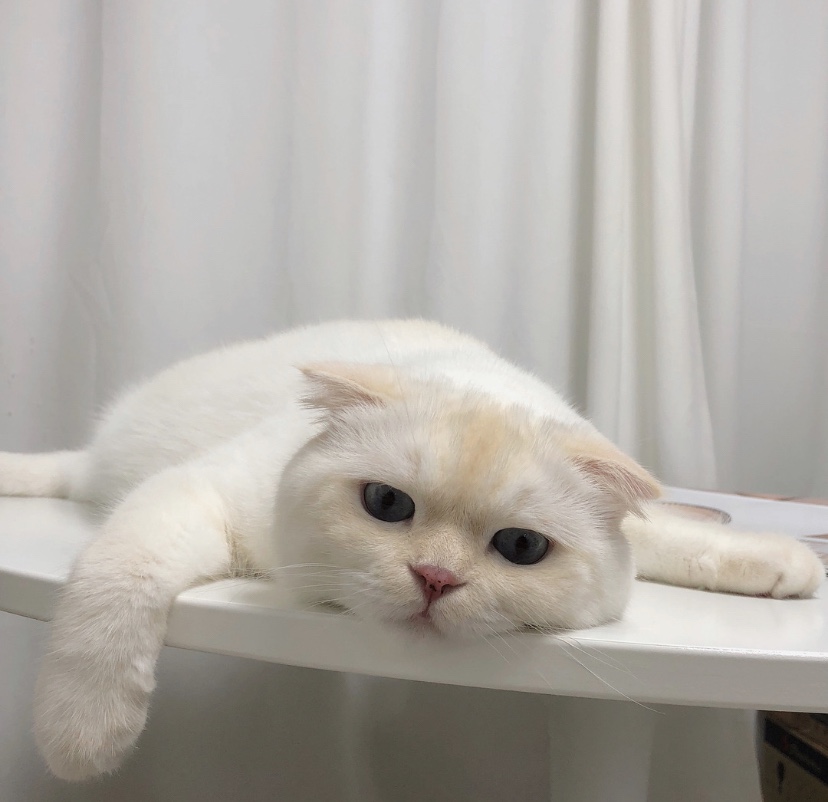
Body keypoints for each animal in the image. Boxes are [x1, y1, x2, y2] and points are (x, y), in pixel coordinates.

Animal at [0, 319, 822, 782]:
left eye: (521, 546)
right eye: (387, 506)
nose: (435, 578)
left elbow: (681, 534)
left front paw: (784, 565)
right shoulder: (198, 492)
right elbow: (116, 586)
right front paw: (80, 737)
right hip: (117, 469)